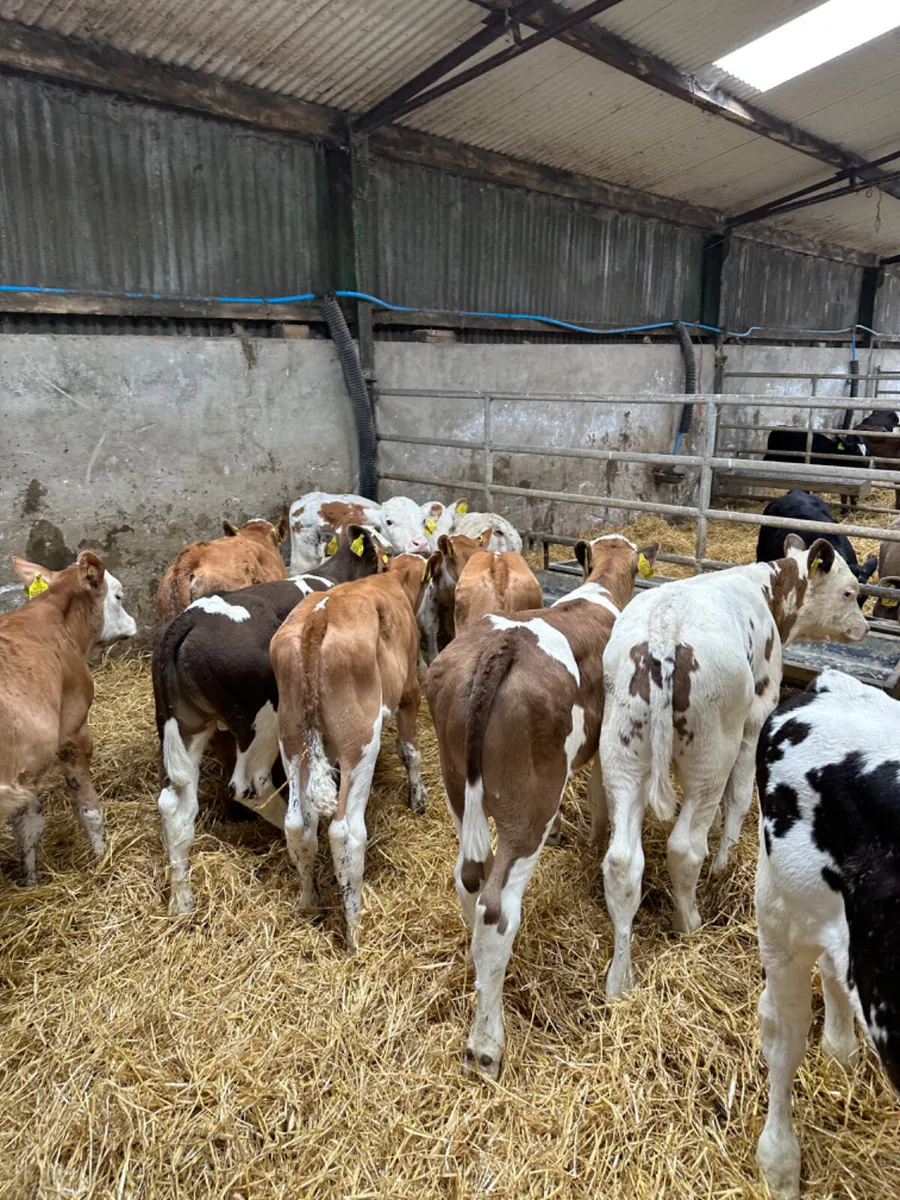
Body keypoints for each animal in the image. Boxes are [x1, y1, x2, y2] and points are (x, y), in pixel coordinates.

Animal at [0, 552, 137, 884]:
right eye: (118, 595)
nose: (133, 623)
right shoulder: (74, 732)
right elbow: (88, 807)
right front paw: (102, 861)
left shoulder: (24, 767)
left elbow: (27, 821)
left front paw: (30, 881)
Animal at [271, 551, 441, 950]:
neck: (392, 581)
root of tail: (318, 617)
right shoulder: (409, 691)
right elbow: (410, 750)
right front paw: (418, 799)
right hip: (361, 741)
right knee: (345, 833)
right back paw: (354, 931)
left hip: (292, 740)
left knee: (298, 824)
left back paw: (309, 905)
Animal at [425, 534, 659, 1078]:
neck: (600, 589)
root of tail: (501, 646)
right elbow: (601, 796)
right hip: (531, 805)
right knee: (496, 907)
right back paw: (485, 1046)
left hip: (455, 784)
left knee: (469, 876)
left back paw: (474, 970)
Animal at [599, 536, 868, 998]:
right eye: (850, 591)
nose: (865, 627)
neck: (765, 591)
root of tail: (665, 629)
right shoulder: (757, 713)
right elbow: (741, 796)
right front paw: (724, 864)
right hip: (712, 753)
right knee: (685, 846)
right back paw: (689, 923)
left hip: (622, 753)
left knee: (622, 862)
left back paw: (620, 979)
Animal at [755, 670, 900, 1200]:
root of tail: (834, 685)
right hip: (783, 914)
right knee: (784, 1036)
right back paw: (779, 1164)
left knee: (835, 967)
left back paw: (840, 1049)